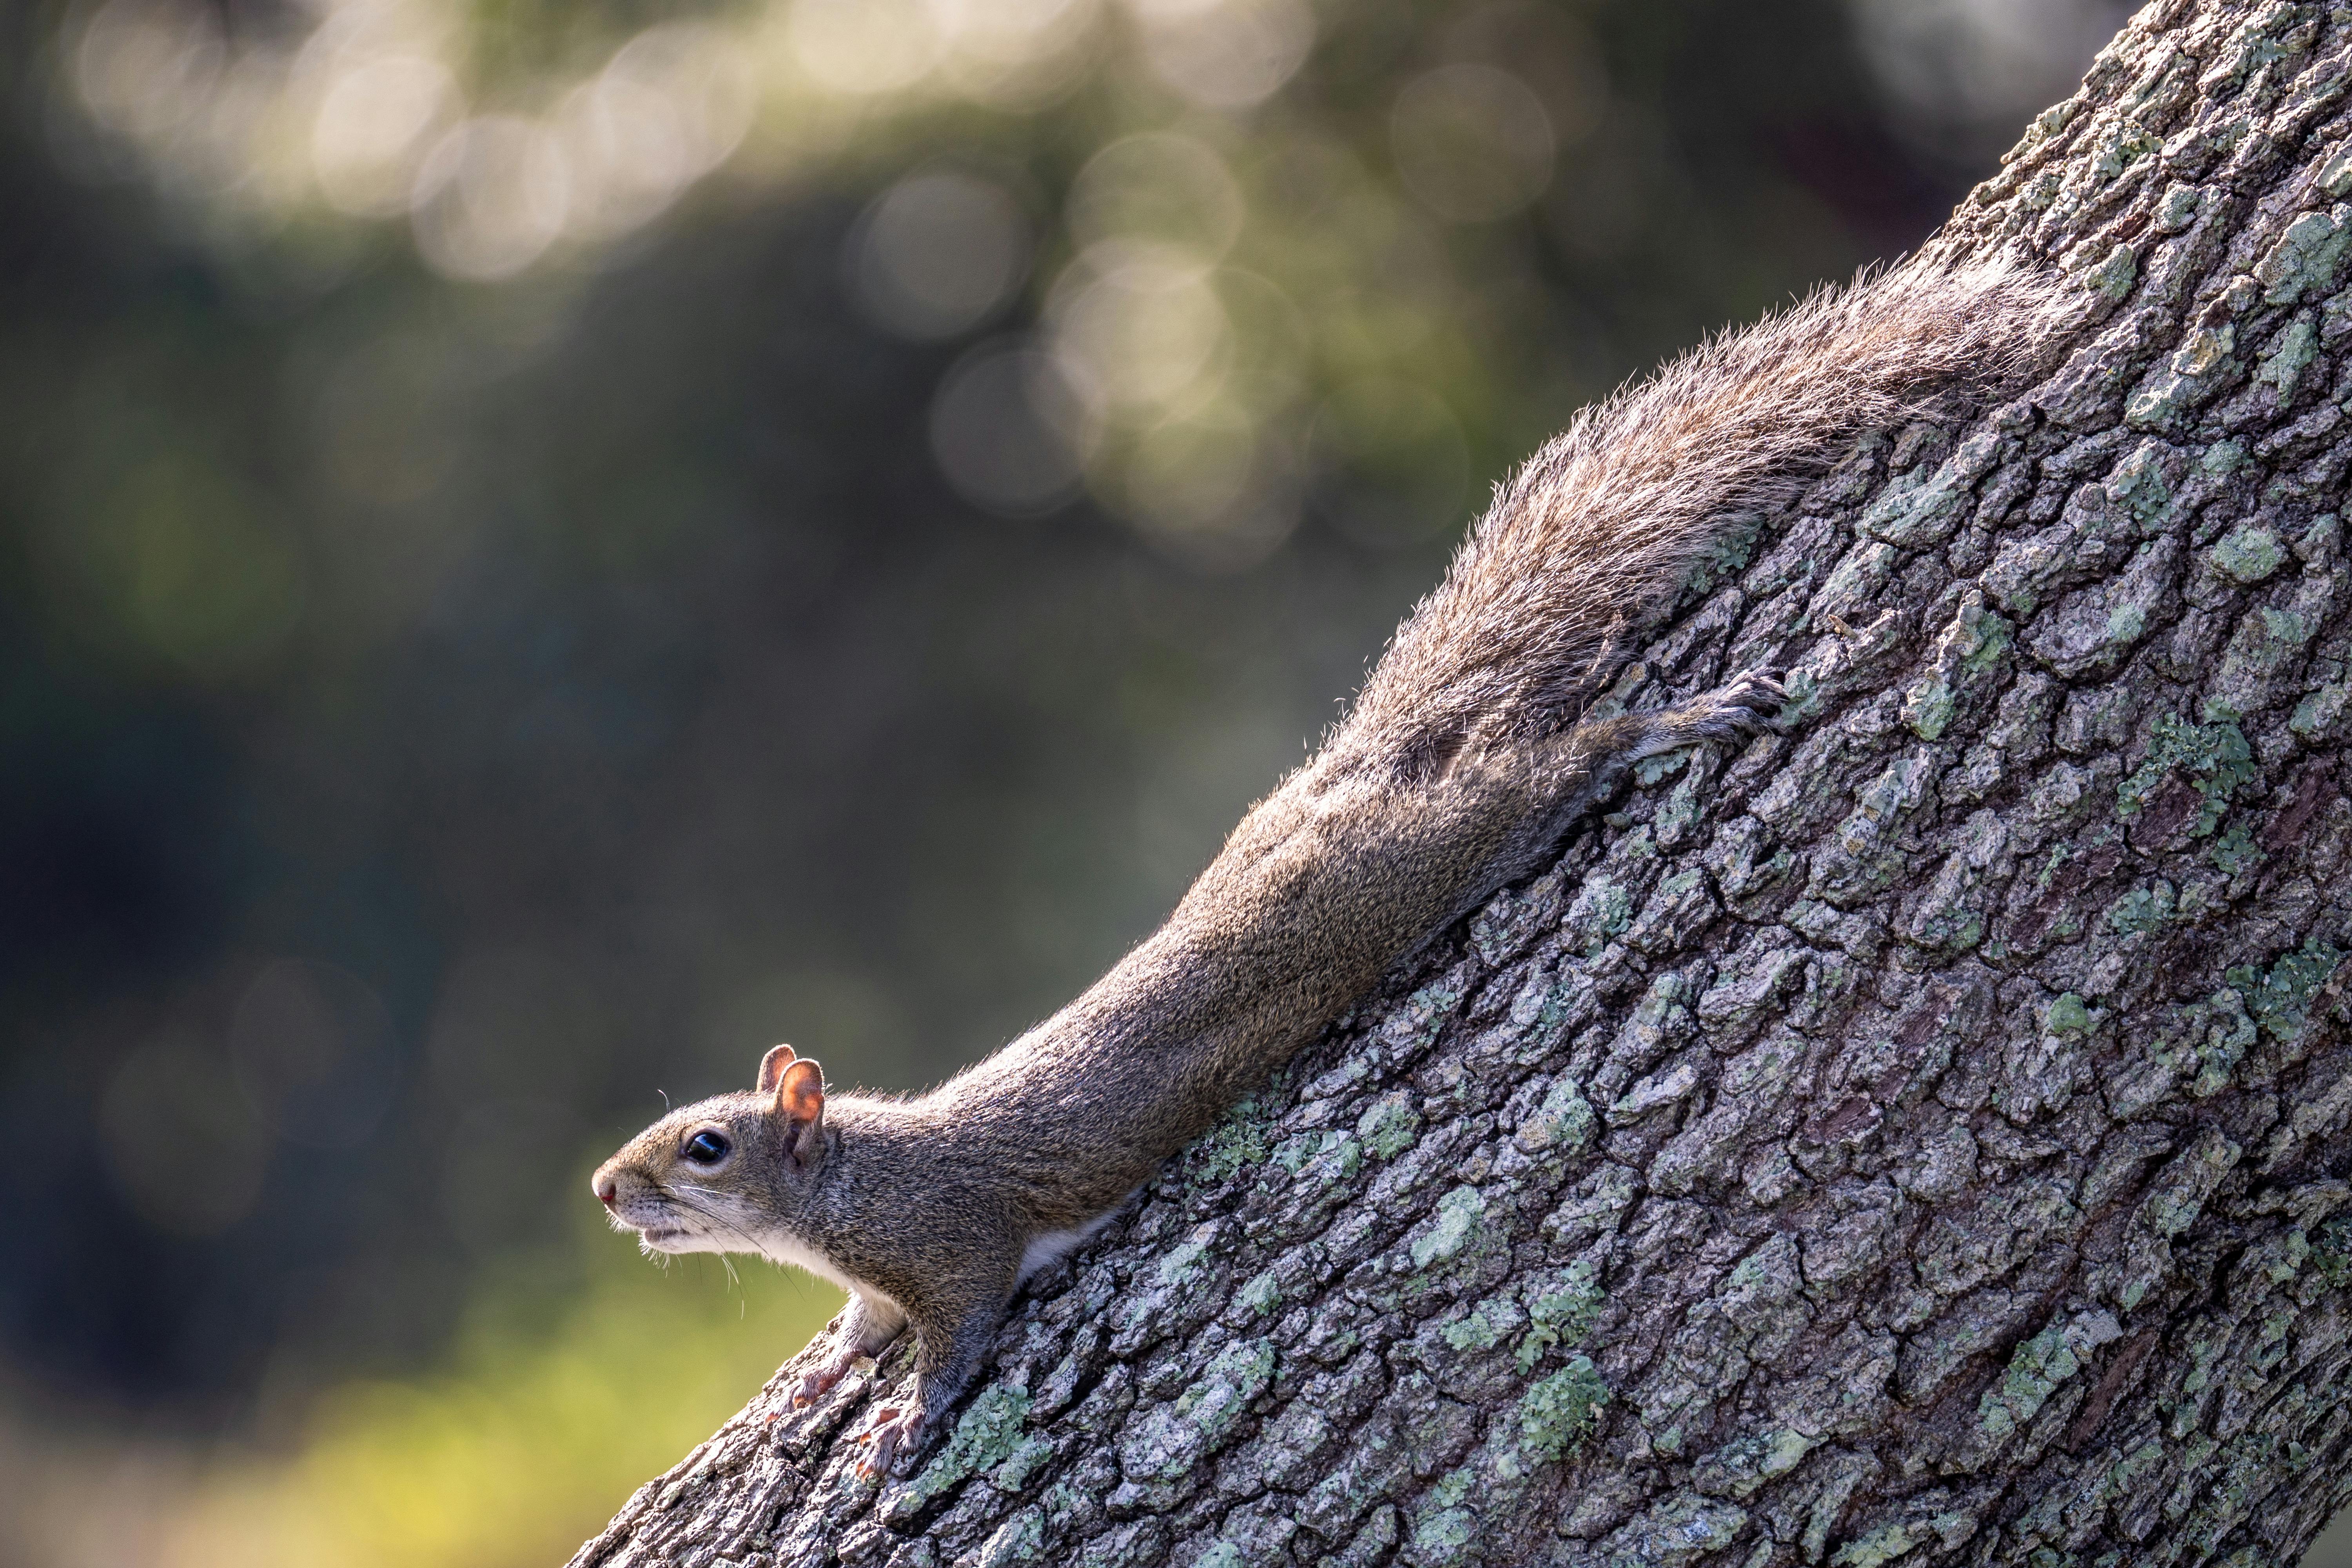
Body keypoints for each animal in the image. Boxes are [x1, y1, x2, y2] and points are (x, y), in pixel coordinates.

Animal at [591, 253, 2075, 1476]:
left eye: (706, 1144)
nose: (606, 1191)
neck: (838, 1188)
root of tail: (1351, 775)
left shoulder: (949, 1243)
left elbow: (959, 1331)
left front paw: (907, 1422)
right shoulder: (871, 1274)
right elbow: (858, 1326)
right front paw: (828, 1372)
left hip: (1430, 856)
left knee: (1548, 769)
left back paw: (1675, 721)